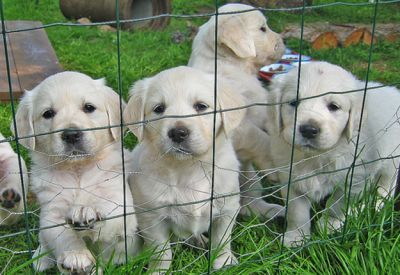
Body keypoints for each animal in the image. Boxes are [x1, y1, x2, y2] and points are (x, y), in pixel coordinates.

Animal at [13, 72, 141, 274]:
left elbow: (113, 214)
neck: (78, 170)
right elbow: (61, 235)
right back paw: (42, 259)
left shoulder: (121, 202)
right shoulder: (52, 212)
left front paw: (84, 213)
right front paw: (77, 256)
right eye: (48, 113)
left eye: (89, 107)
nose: (71, 134)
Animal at [123, 67, 245, 274]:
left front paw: (224, 262)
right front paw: (158, 271)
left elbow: (221, 239)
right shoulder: (151, 216)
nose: (178, 133)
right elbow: (161, 251)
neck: (189, 167)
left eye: (201, 106)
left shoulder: (227, 207)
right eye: (159, 109)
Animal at [189, 3, 286, 221]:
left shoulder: (260, 110)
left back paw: (273, 211)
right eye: (262, 28)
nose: (283, 42)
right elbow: (260, 137)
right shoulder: (236, 127)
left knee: (250, 203)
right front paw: (275, 167)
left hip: (249, 177)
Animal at [266, 62, 400, 248]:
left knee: (386, 186)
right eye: (294, 102)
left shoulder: (353, 178)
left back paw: (377, 205)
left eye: (334, 106)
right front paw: (296, 237)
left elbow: (337, 204)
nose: (309, 130)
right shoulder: (290, 179)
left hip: (391, 160)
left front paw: (329, 226)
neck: (315, 156)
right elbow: (297, 211)